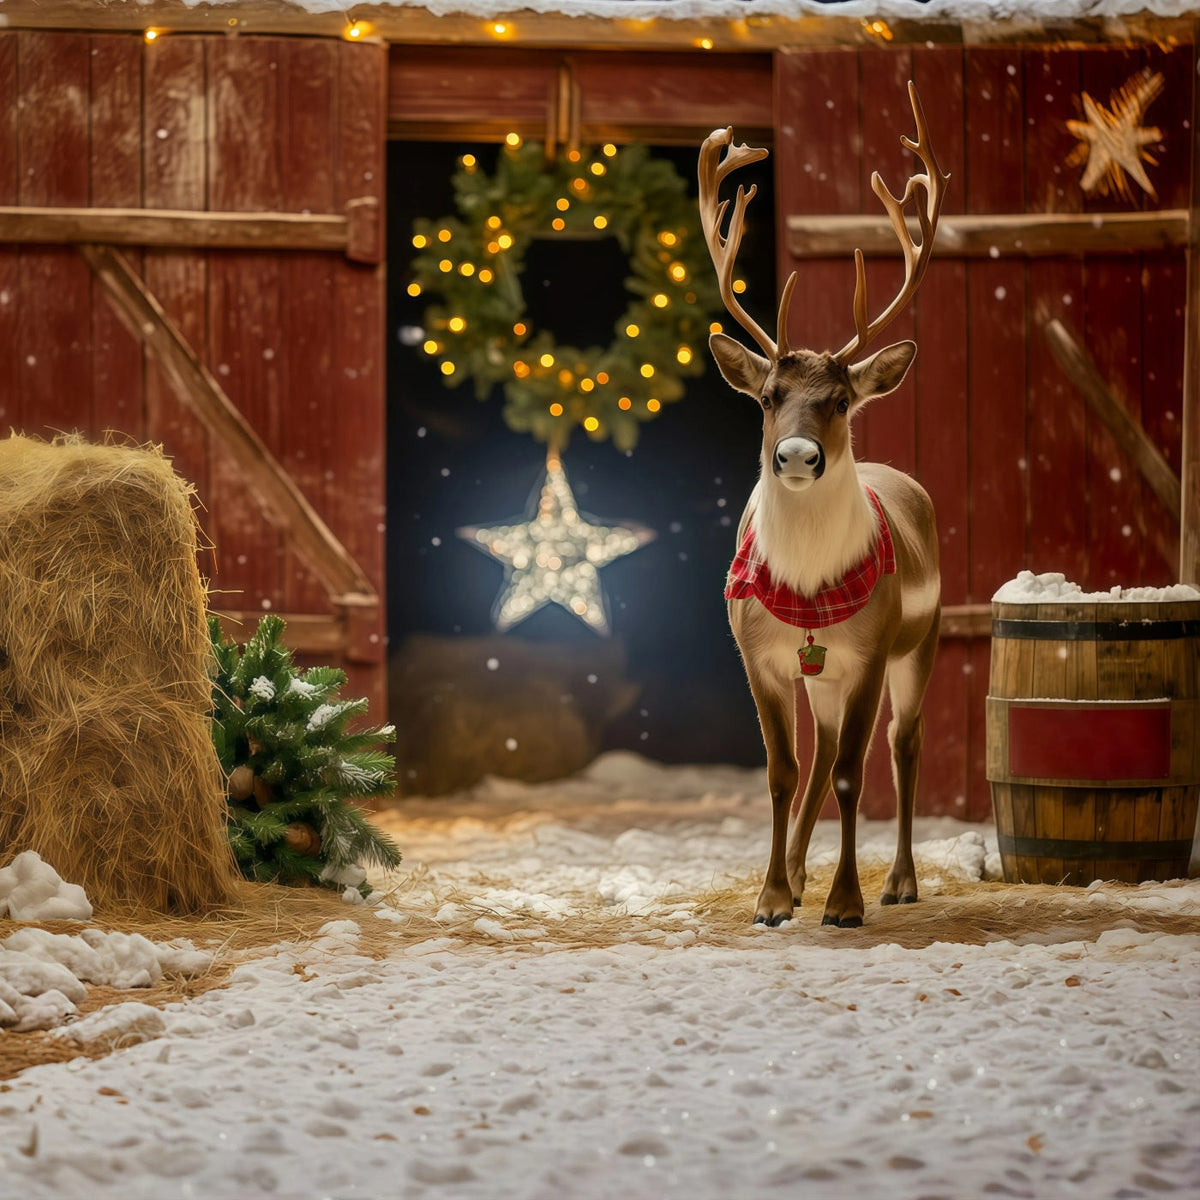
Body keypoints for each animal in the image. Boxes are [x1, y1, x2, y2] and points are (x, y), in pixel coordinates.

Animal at [699, 82, 948, 928]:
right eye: (768, 396)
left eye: (839, 399)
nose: (799, 457)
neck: (808, 584)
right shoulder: (759, 654)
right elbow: (782, 770)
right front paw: (774, 896)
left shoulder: (869, 651)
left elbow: (852, 775)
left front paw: (846, 901)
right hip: (824, 675)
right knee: (818, 759)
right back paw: (802, 875)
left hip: (919, 643)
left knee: (903, 748)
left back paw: (899, 881)